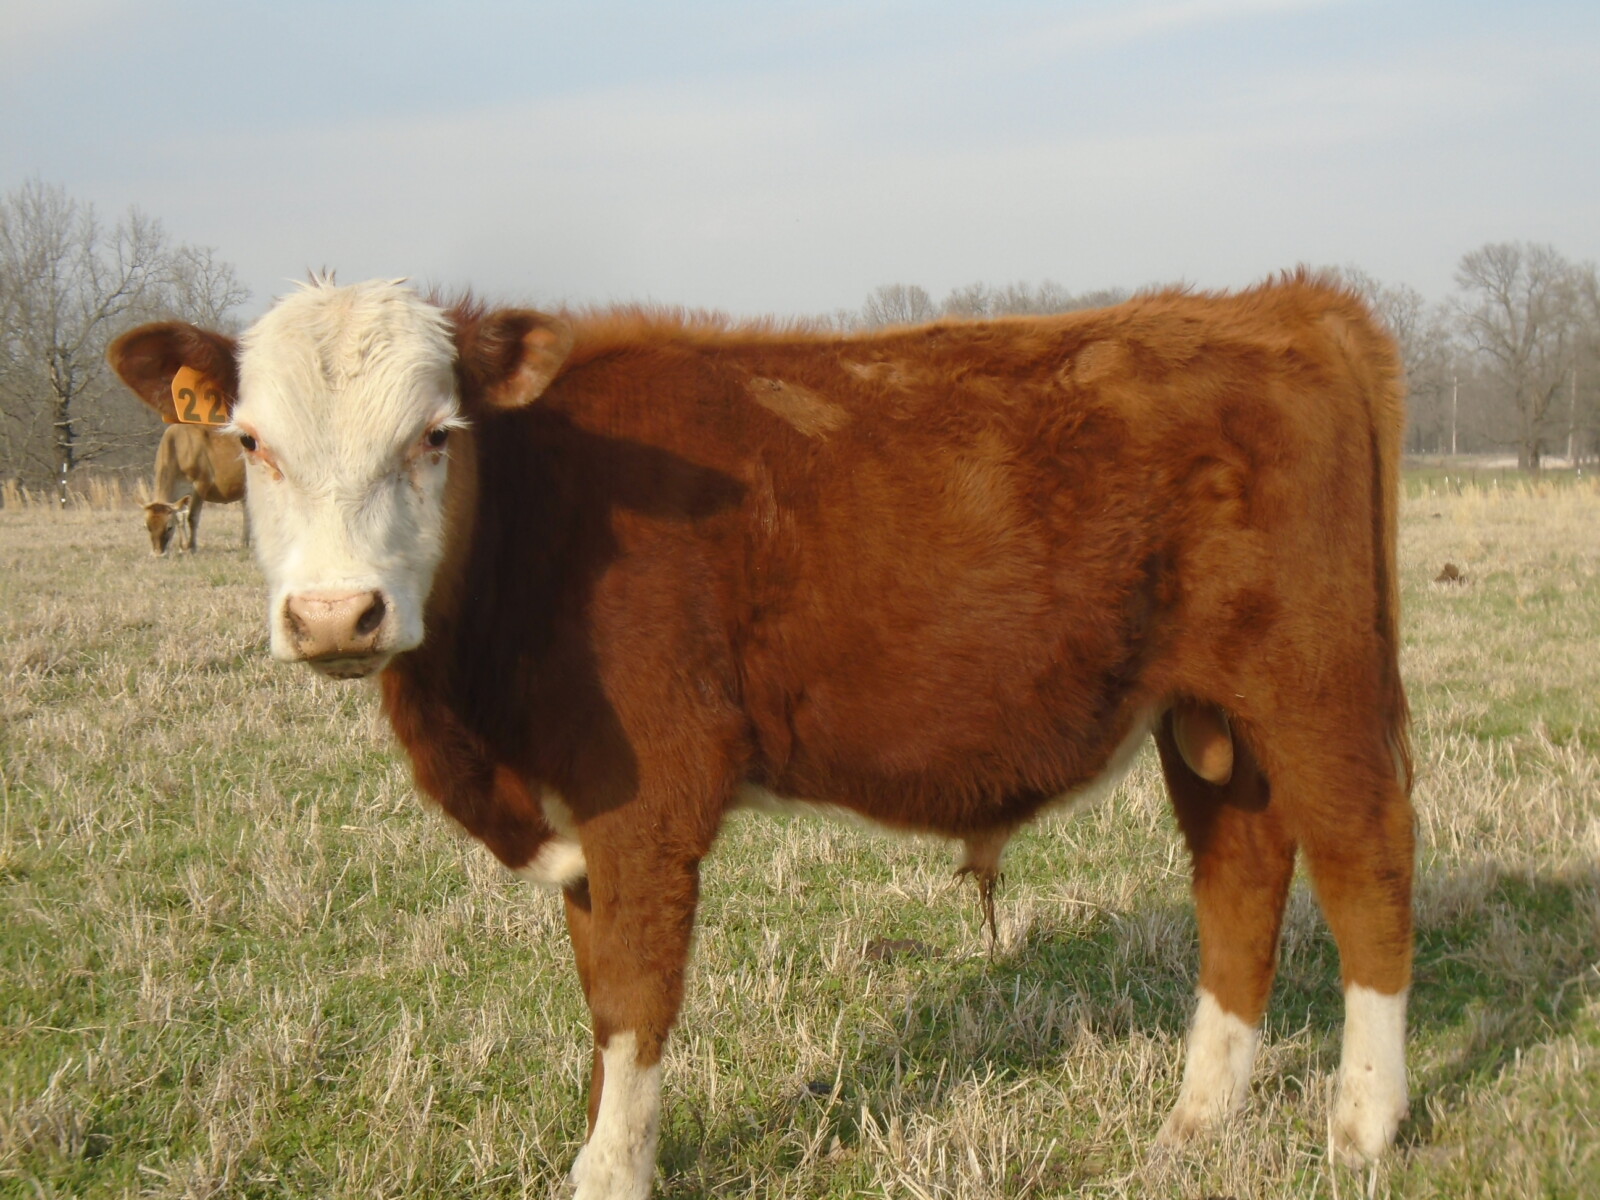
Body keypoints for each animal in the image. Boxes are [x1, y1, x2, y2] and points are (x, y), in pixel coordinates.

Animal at [142, 422, 249, 555]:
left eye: (169, 527)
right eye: (147, 526)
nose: (158, 554)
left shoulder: (201, 483)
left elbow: (192, 517)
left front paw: (192, 547)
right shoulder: (180, 494)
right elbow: (180, 517)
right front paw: (183, 546)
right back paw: (244, 543)